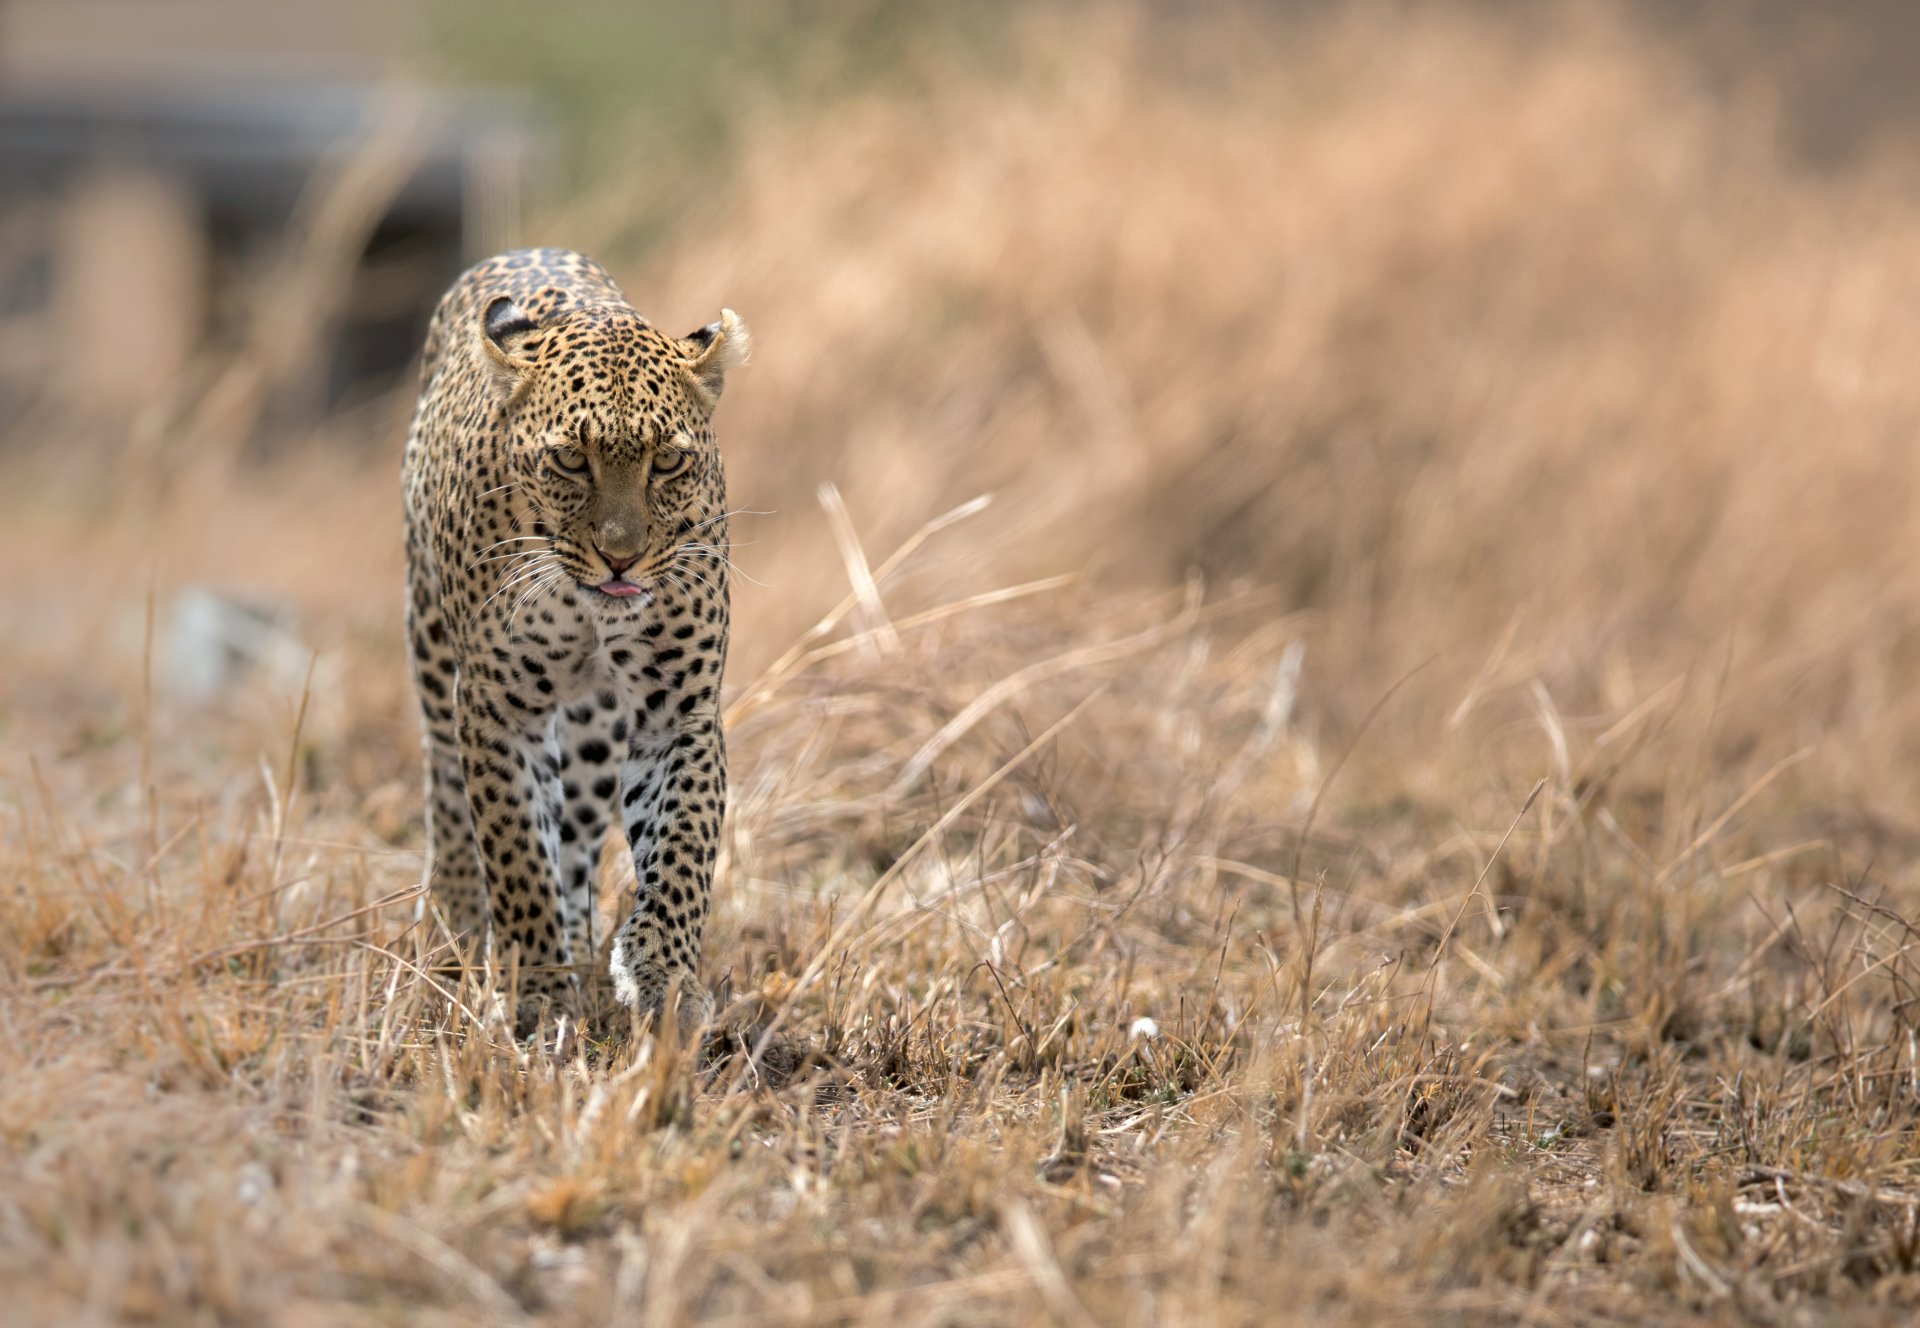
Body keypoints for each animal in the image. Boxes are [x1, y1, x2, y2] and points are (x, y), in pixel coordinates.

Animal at [401, 246, 747, 1031]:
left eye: (668, 462)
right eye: (569, 460)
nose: (621, 557)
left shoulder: (679, 708)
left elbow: (682, 847)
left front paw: (662, 975)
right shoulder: (496, 708)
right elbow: (515, 851)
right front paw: (533, 992)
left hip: (593, 734)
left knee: (580, 834)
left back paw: (585, 942)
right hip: (432, 652)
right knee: (447, 793)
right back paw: (457, 927)